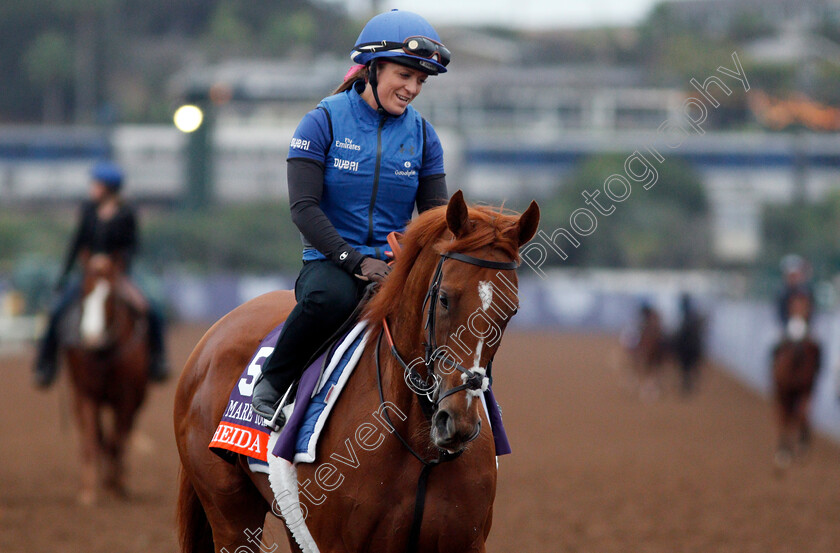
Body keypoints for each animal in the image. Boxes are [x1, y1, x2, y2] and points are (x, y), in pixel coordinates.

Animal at [61, 252, 150, 502]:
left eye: (110, 297)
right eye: (84, 292)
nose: (92, 337)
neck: (103, 354)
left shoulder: (127, 397)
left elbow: (116, 440)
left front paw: (114, 485)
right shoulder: (86, 394)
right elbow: (93, 439)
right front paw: (88, 491)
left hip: (137, 398)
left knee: (120, 436)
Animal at [175, 191, 540, 552]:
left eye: (511, 310)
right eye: (446, 298)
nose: (458, 421)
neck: (419, 444)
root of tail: (210, 338)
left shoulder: (465, 541)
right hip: (231, 513)